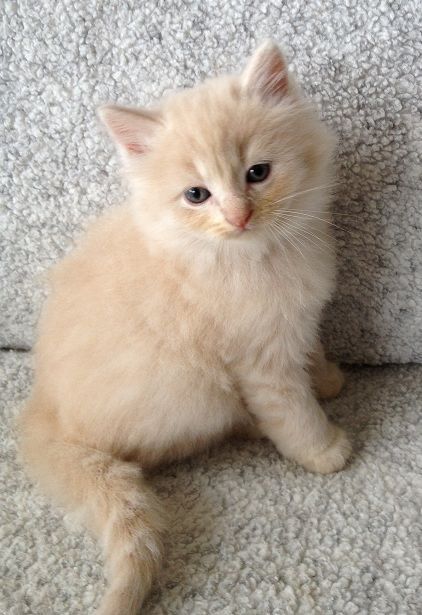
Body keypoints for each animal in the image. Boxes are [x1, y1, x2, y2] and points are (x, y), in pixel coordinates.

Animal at [19, 43, 350, 615]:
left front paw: (328, 379)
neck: (254, 254)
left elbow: (313, 349)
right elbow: (292, 412)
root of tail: (45, 405)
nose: (238, 215)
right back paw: (249, 427)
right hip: (189, 394)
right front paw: (323, 448)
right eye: (197, 195)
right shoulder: (260, 361)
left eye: (258, 172)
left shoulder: (298, 321)